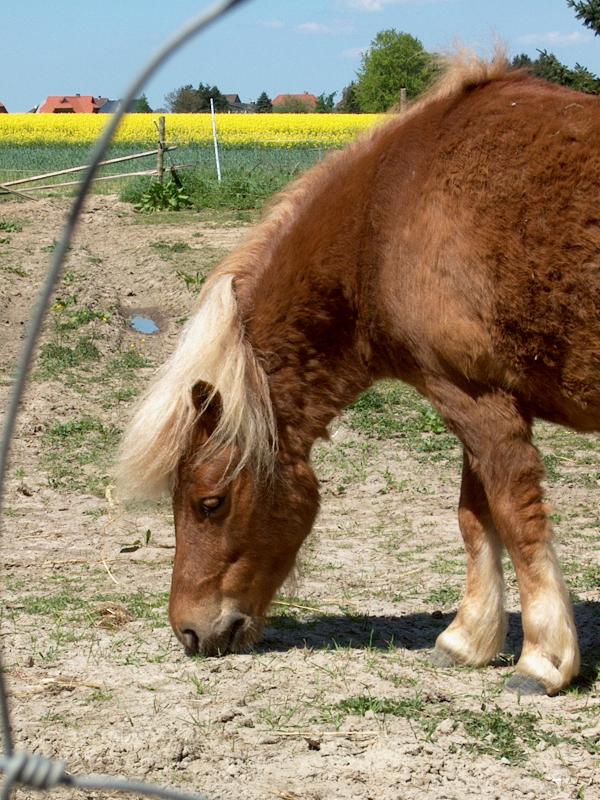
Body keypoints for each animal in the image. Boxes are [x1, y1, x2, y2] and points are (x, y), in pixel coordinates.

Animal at [118, 55, 600, 696]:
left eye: (210, 503)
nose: (189, 633)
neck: (388, 216)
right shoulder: (465, 399)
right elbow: (475, 517)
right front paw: (468, 639)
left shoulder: (480, 403)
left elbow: (516, 519)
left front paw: (543, 659)